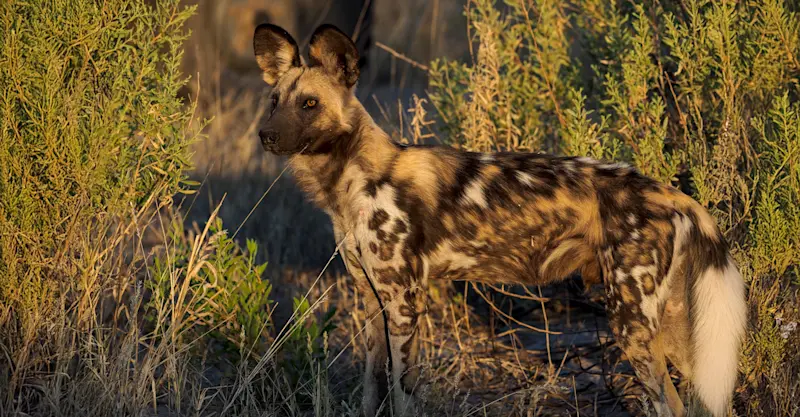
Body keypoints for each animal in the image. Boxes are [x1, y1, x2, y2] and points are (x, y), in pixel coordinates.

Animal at [251, 23, 747, 417]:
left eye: (310, 104)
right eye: (274, 101)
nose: (266, 135)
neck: (351, 179)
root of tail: (674, 194)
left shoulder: (405, 305)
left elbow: (403, 394)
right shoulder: (374, 304)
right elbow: (373, 391)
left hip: (631, 325)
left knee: (670, 405)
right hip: (675, 331)